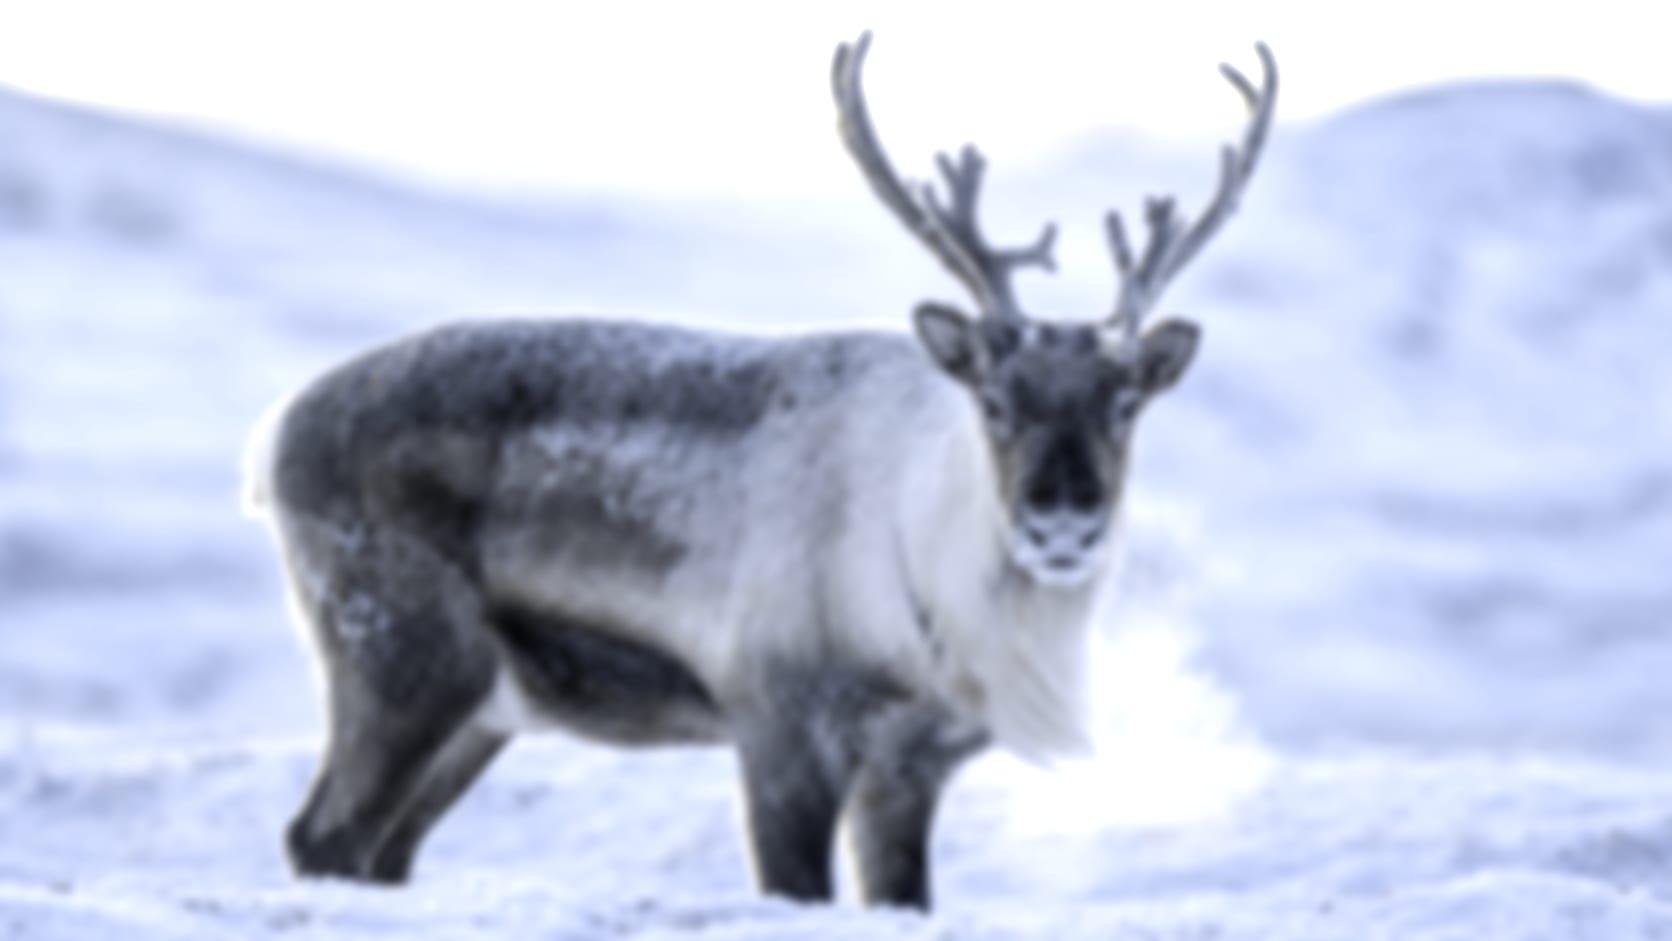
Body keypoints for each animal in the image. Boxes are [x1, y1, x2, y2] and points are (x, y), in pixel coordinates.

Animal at [242, 31, 1277, 911]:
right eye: (995, 400)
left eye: (1125, 403)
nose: (1063, 521)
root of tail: (274, 433)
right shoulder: (778, 722)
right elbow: (794, 886)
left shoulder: (912, 762)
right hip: (400, 655)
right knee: (323, 836)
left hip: (481, 708)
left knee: (382, 852)